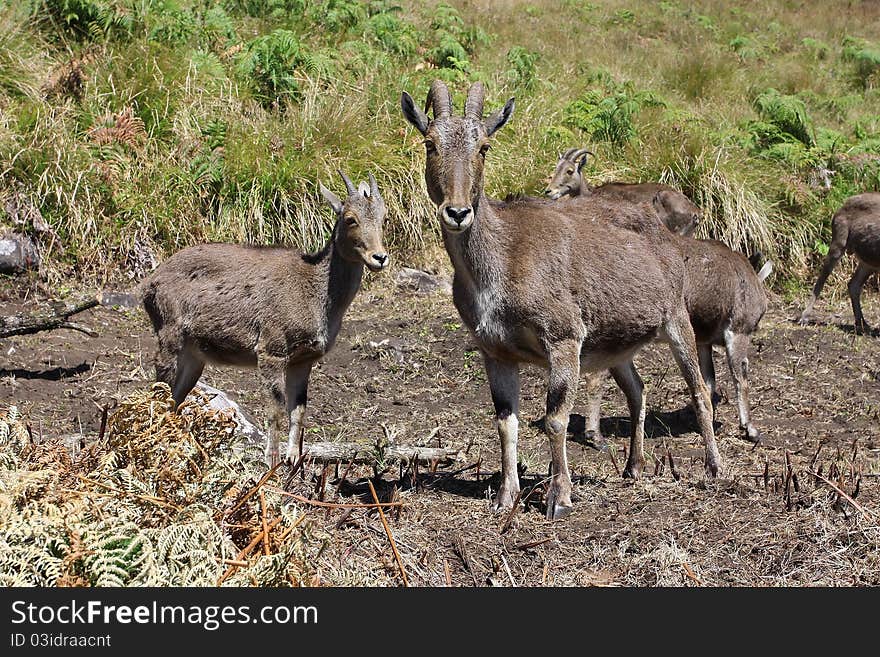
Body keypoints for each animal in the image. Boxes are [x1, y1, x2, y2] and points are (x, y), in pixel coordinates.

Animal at [141, 172, 388, 464]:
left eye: (383, 217)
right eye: (351, 218)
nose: (379, 257)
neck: (315, 292)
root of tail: (148, 284)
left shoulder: (303, 360)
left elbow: (298, 411)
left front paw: (293, 459)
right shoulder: (272, 350)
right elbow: (276, 410)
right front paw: (271, 462)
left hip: (194, 357)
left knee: (175, 398)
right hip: (170, 336)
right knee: (158, 389)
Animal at [800, 191, 880, 334]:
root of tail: (839, 209)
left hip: (868, 262)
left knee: (853, 284)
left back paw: (862, 323)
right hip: (838, 243)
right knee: (822, 279)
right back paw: (805, 317)